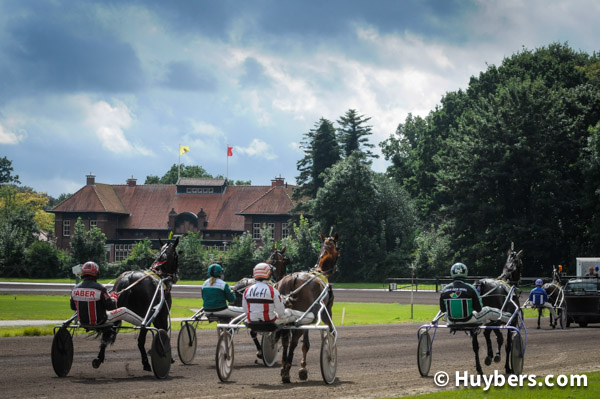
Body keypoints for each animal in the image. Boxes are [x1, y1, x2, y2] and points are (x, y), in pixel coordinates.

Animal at [101, 238, 179, 372]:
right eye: (177, 255)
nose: (176, 275)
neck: (160, 273)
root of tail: (128, 278)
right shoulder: (161, 314)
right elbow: (162, 331)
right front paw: (168, 356)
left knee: (106, 333)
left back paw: (99, 358)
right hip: (144, 317)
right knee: (140, 340)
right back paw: (146, 363)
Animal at [276, 234, 338, 384]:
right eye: (338, 248)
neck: (320, 272)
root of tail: (293, 278)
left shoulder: (308, 318)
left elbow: (305, 344)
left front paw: (302, 369)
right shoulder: (326, 312)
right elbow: (329, 332)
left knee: (286, 340)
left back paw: (284, 368)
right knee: (293, 341)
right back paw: (286, 371)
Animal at [472, 245, 524, 376]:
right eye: (521, 264)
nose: (519, 280)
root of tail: (481, 283)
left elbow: (493, 336)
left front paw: (491, 355)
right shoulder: (511, 321)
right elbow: (508, 344)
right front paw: (508, 367)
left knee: (475, 344)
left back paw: (480, 368)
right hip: (494, 319)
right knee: (493, 335)